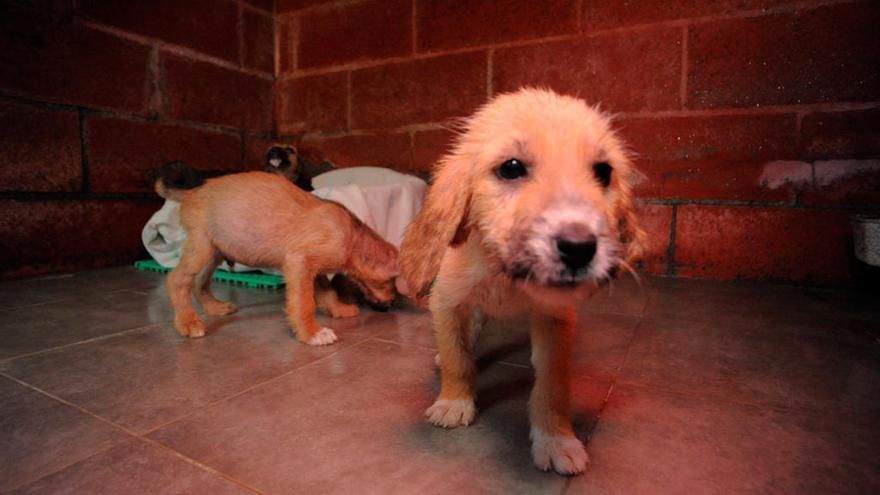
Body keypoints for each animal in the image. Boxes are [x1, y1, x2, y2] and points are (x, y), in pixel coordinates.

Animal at [156, 165, 398, 346]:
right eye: (392, 285)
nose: (389, 306)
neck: (352, 235)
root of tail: (192, 192)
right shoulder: (299, 263)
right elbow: (304, 303)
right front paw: (312, 333)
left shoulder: (314, 269)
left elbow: (327, 292)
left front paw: (339, 309)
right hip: (202, 247)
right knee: (176, 280)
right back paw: (188, 322)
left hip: (215, 251)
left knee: (199, 283)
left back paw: (215, 308)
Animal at [402, 89, 644, 476]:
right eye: (512, 167)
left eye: (603, 171)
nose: (579, 248)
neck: (505, 275)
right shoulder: (447, 300)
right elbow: (457, 356)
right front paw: (454, 401)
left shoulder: (555, 318)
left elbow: (553, 385)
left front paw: (556, 439)